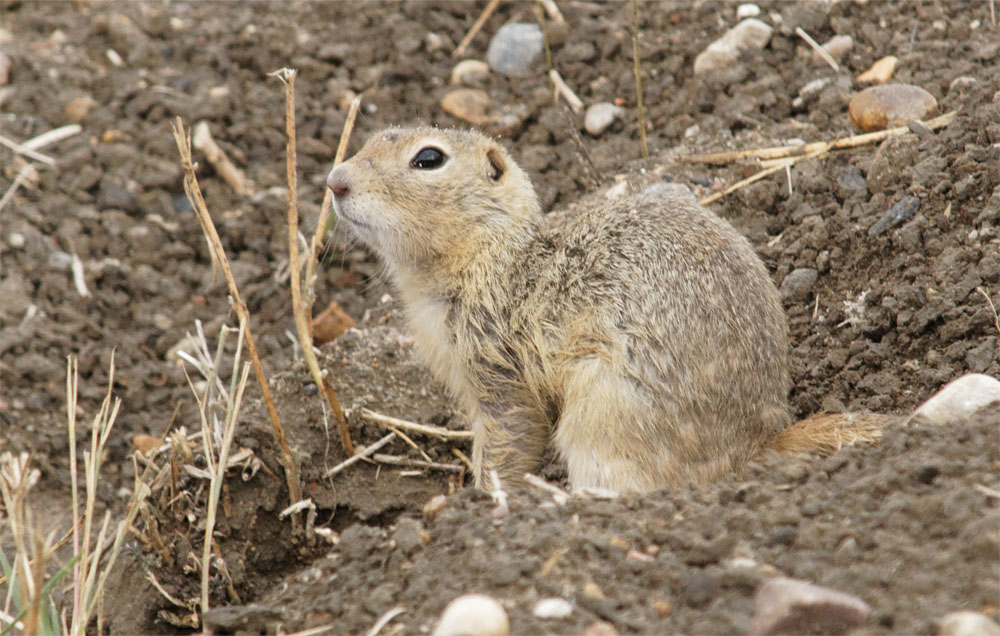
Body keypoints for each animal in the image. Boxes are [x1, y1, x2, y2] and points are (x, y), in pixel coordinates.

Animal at [327, 126, 887, 493]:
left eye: (428, 159)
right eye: (373, 137)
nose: (334, 180)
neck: (493, 250)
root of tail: (758, 441)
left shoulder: (495, 364)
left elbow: (511, 437)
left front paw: (482, 502)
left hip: (602, 414)